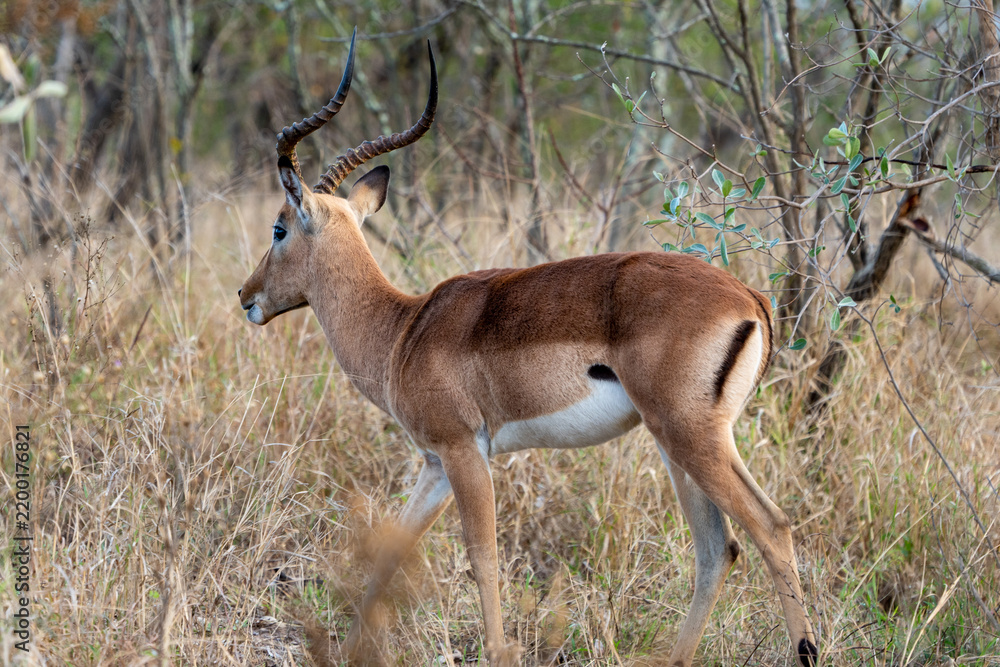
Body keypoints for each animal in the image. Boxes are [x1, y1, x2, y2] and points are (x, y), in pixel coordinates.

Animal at [238, 30, 819, 667]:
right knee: (719, 548)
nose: (246, 296)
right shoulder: (435, 463)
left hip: (690, 437)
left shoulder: (465, 450)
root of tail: (750, 298)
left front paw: (497, 651)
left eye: (278, 228)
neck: (401, 330)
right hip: (680, 443)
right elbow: (393, 550)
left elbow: (484, 558)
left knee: (771, 527)